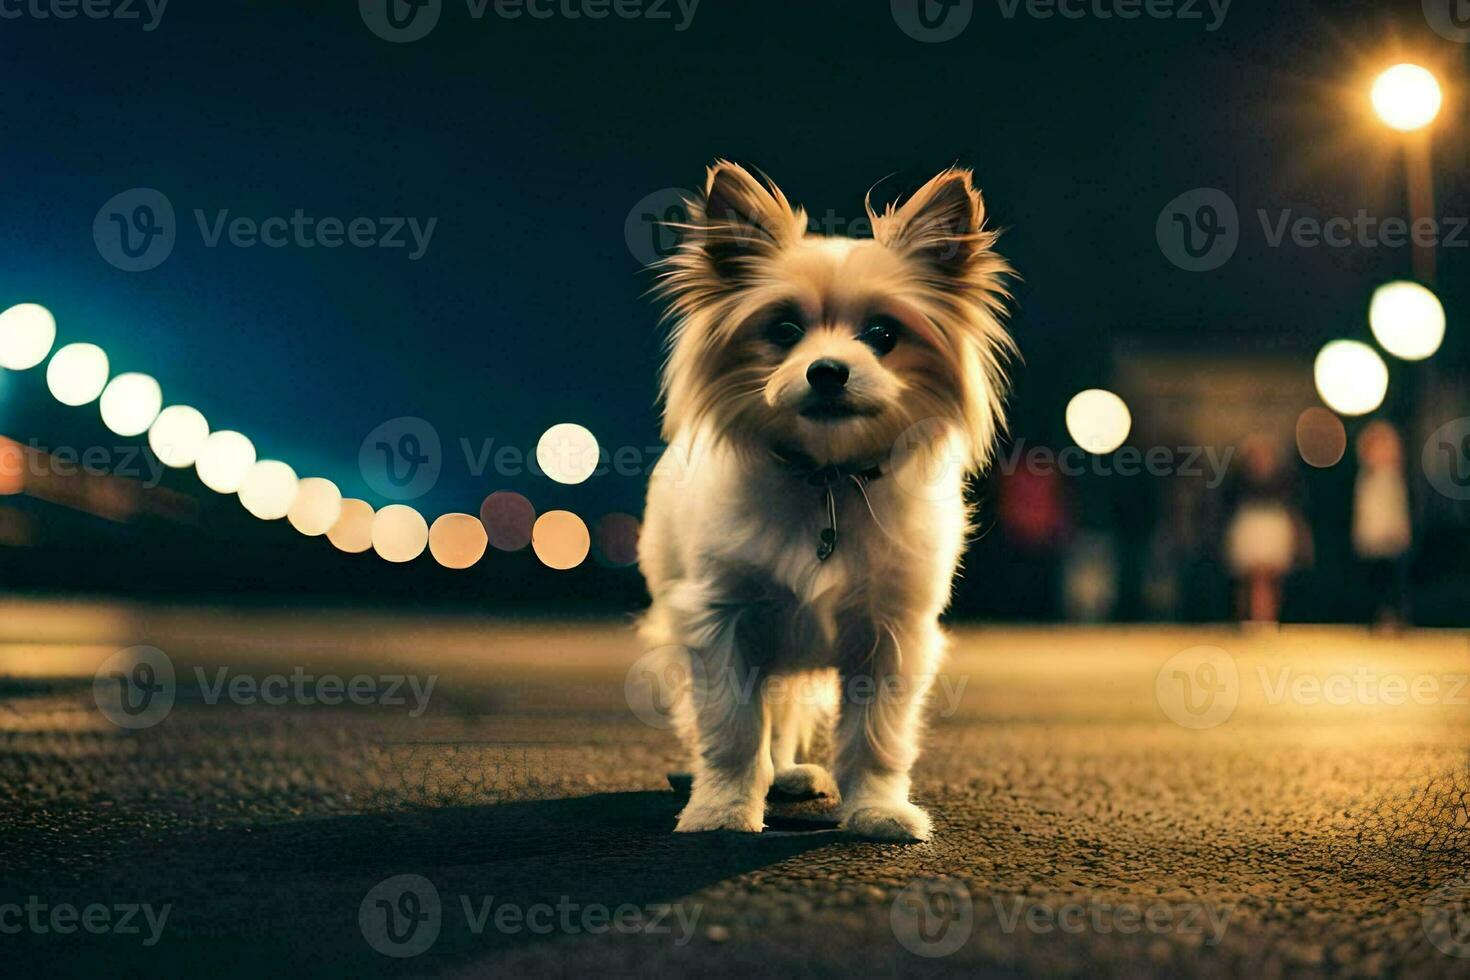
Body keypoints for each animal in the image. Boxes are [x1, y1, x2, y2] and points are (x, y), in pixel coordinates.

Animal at [637, 163, 1017, 846]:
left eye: (883, 335)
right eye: (784, 331)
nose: (828, 371)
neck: (827, 480)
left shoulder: (892, 637)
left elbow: (875, 740)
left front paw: (877, 811)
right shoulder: (718, 623)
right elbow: (732, 731)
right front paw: (722, 809)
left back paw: (787, 774)